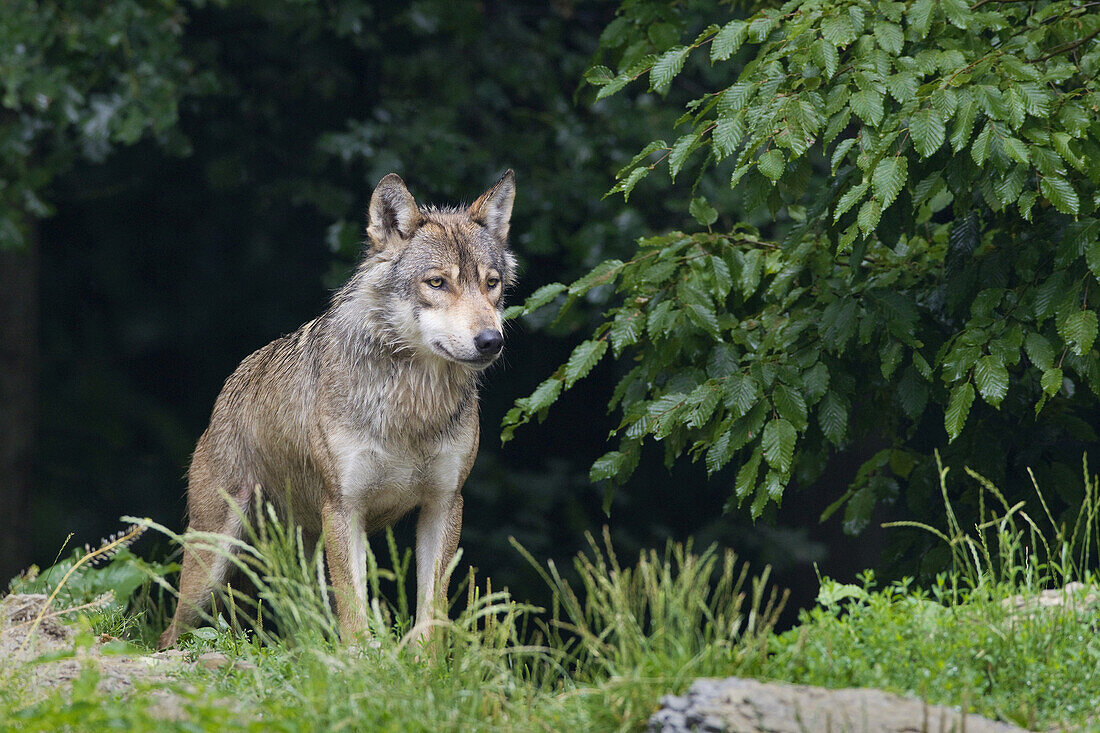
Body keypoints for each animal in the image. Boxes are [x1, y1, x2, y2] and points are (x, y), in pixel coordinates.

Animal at [160, 169, 517, 647]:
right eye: (437, 282)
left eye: (491, 283)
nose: (491, 341)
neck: (411, 404)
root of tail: (229, 386)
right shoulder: (345, 509)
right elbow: (355, 613)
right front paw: (362, 659)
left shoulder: (444, 504)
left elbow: (430, 614)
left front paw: (422, 661)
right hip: (212, 563)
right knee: (171, 630)